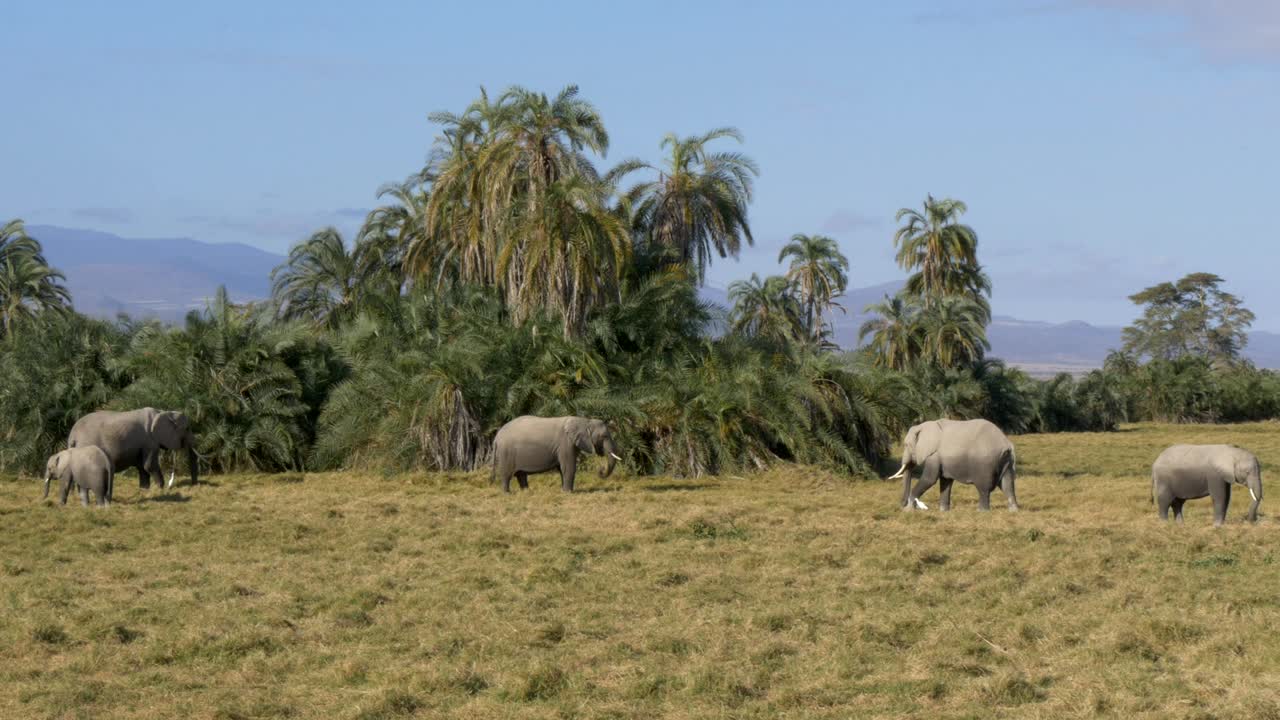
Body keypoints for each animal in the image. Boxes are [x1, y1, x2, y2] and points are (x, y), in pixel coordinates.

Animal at [68, 408, 198, 490]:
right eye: (187, 429)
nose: (194, 484)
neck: (163, 412)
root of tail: (72, 436)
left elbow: (141, 466)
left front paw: (144, 490)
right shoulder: (149, 440)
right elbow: (149, 465)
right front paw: (160, 488)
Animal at [492, 416, 620, 493]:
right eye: (604, 436)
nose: (600, 469)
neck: (584, 421)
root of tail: (497, 437)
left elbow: (562, 468)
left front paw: (564, 491)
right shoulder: (565, 444)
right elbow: (568, 467)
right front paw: (569, 493)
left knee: (521, 475)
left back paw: (526, 492)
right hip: (506, 453)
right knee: (507, 475)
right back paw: (507, 493)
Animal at [887, 418, 1019, 512]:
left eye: (906, 445)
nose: (901, 505)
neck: (925, 426)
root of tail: (1007, 443)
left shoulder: (935, 454)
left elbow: (929, 479)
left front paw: (908, 510)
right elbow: (945, 481)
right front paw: (943, 511)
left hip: (985, 462)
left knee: (984, 488)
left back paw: (982, 512)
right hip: (1006, 460)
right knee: (1007, 484)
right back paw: (1013, 510)